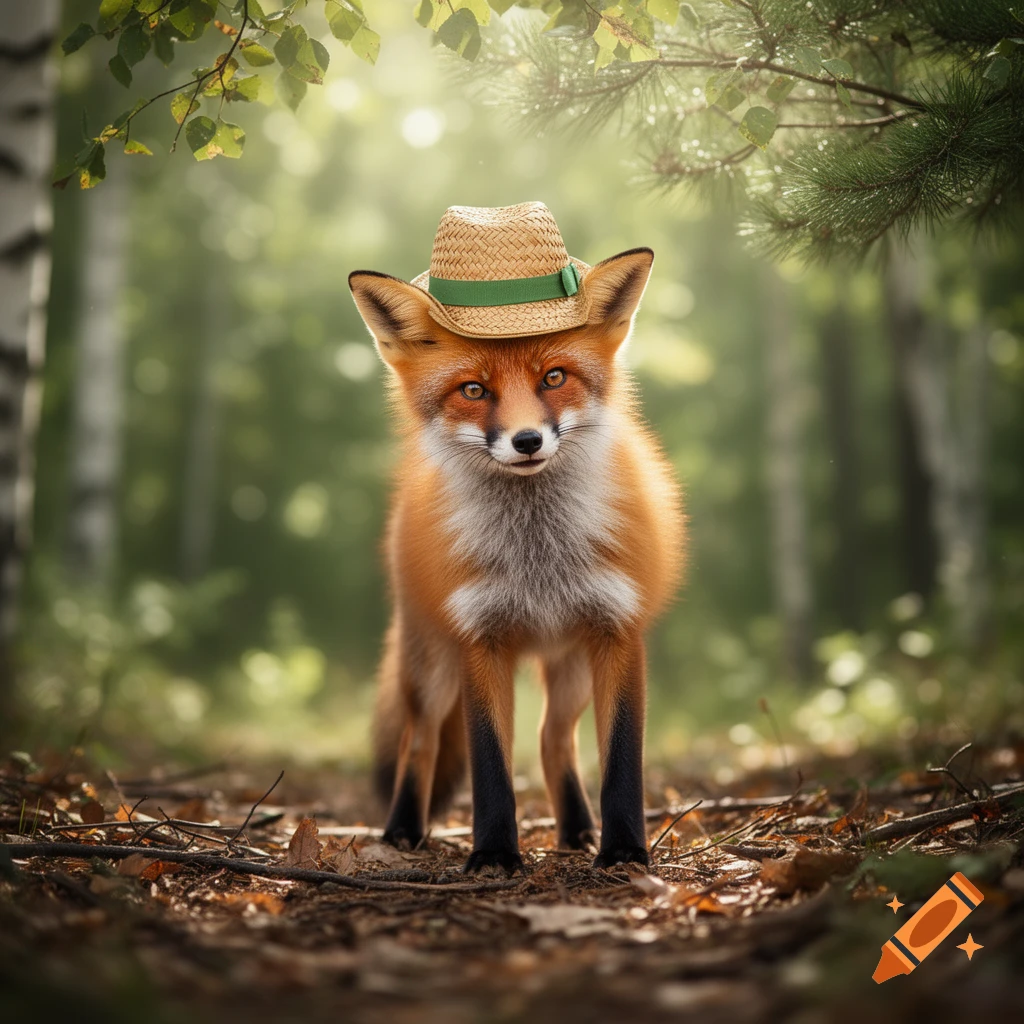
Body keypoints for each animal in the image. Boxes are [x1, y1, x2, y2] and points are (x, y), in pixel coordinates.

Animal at [348, 245, 684, 874]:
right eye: (474, 390)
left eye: (554, 377)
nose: (527, 441)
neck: (538, 557)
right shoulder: (483, 639)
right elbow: (489, 765)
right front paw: (494, 854)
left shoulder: (618, 633)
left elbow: (622, 759)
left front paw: (624, 851)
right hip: (431, 664)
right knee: (419, 739)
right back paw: (403, 829)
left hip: (571, 670)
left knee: (553, 739)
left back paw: (577, 830)